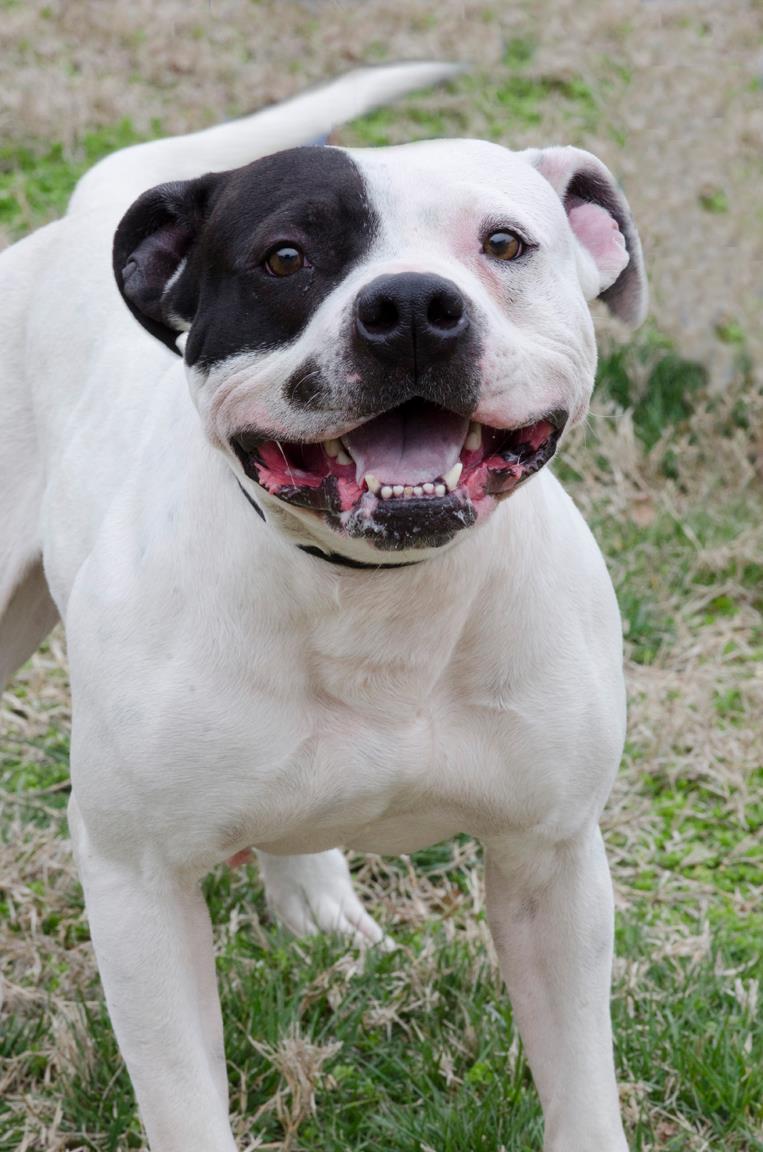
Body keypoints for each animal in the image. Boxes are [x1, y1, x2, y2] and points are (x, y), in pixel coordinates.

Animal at [0, 65, 650, 1152]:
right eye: (285, 257)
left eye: (503, 244)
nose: (413, 305)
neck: (376, 593)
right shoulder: (139, 882)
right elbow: (185, 1102)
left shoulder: (549, 863)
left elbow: (583, 1090)